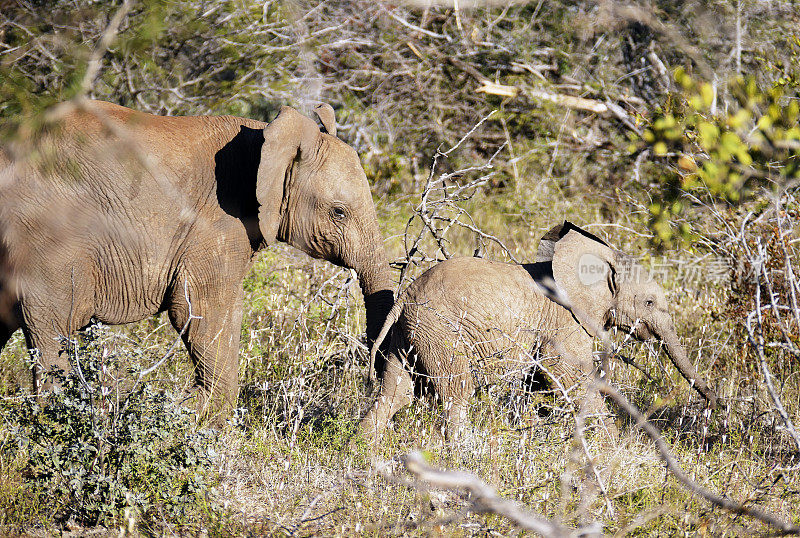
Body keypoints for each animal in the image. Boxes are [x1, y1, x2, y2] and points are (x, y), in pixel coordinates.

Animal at [0, 99, 394, 414]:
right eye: (338, 212)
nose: (371, 376)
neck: (264, 141)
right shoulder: (213, 224)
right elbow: (205, 312)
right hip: (47, 243)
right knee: (52, 333)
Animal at [360, 221, 716, 440]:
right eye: (650, 302)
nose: (717, 404)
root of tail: (405, 295)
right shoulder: (566, 323)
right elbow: (571, 378)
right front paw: (615, 452)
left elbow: (539, 386)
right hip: (441, 333)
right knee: (455, 395)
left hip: (408, 335)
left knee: (394, 393)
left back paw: (364, 452)